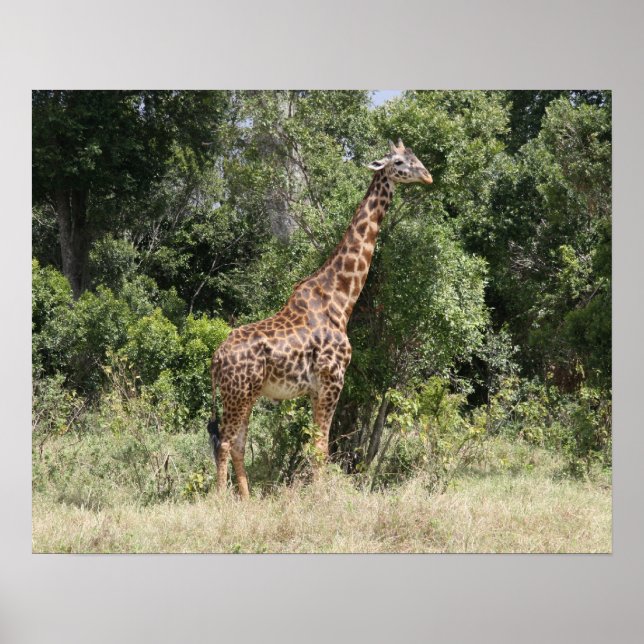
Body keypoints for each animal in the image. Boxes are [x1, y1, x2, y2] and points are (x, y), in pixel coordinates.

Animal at [208, 139, 433, 498]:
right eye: (399, 162)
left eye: (415, 158)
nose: (427, 176)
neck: (341, 299)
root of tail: (215, 360)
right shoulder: (332, 380)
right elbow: (320, 447)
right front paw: (321, 496)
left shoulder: (316, 389)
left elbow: (316, 445)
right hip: (239, 393)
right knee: (225, 443)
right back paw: (221, 500)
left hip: (246, 394)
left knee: (238, 443)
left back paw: (247, 499)